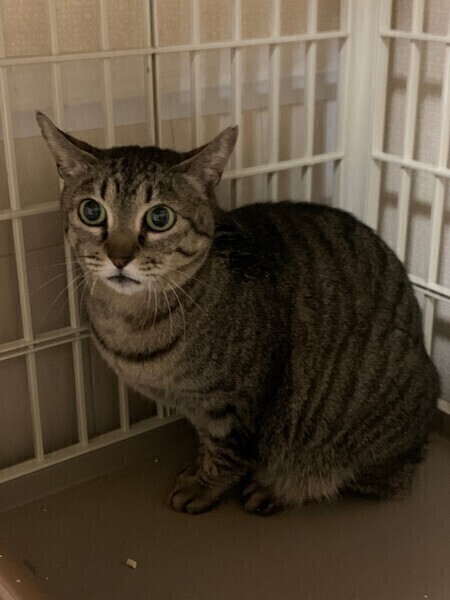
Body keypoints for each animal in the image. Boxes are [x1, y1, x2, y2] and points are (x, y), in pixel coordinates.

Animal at [37, 112, 439, 516]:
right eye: (92, 211)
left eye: (160, 217)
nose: (119, 257)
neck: (131, 322)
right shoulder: (197, 406)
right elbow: (205, 442)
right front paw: (197, 467)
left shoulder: (234, 405)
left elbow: (226, 454)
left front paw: (203, 487)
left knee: (350, 477)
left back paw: (277, 487)